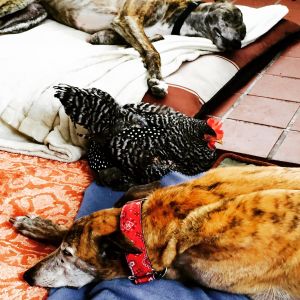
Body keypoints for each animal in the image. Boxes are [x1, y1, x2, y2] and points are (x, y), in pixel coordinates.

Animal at [38, 0, 245, 96]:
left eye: (243, 35)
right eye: (233, 16)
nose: (238, 44)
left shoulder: (113, 29)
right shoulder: (128, 18)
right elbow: (153, 52)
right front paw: (157, 81)